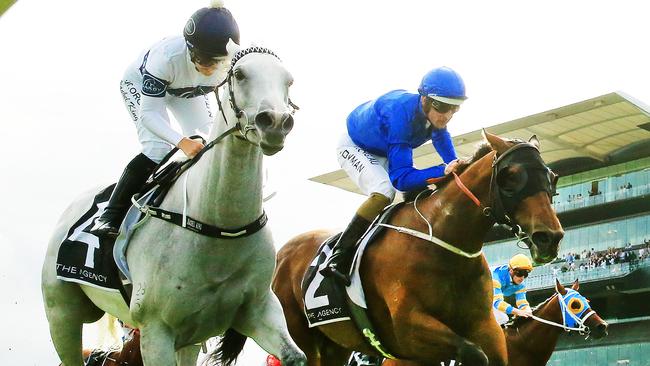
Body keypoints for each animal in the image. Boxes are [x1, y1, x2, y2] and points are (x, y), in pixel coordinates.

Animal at [270, 132, 560, 366]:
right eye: (510, 176)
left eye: (552, 177)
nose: (550, 237)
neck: (445, 243)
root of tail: (282, 253)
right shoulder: (408, 331)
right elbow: (473, 354)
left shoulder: (484, 326)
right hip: (300, 337)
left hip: (336, 344)